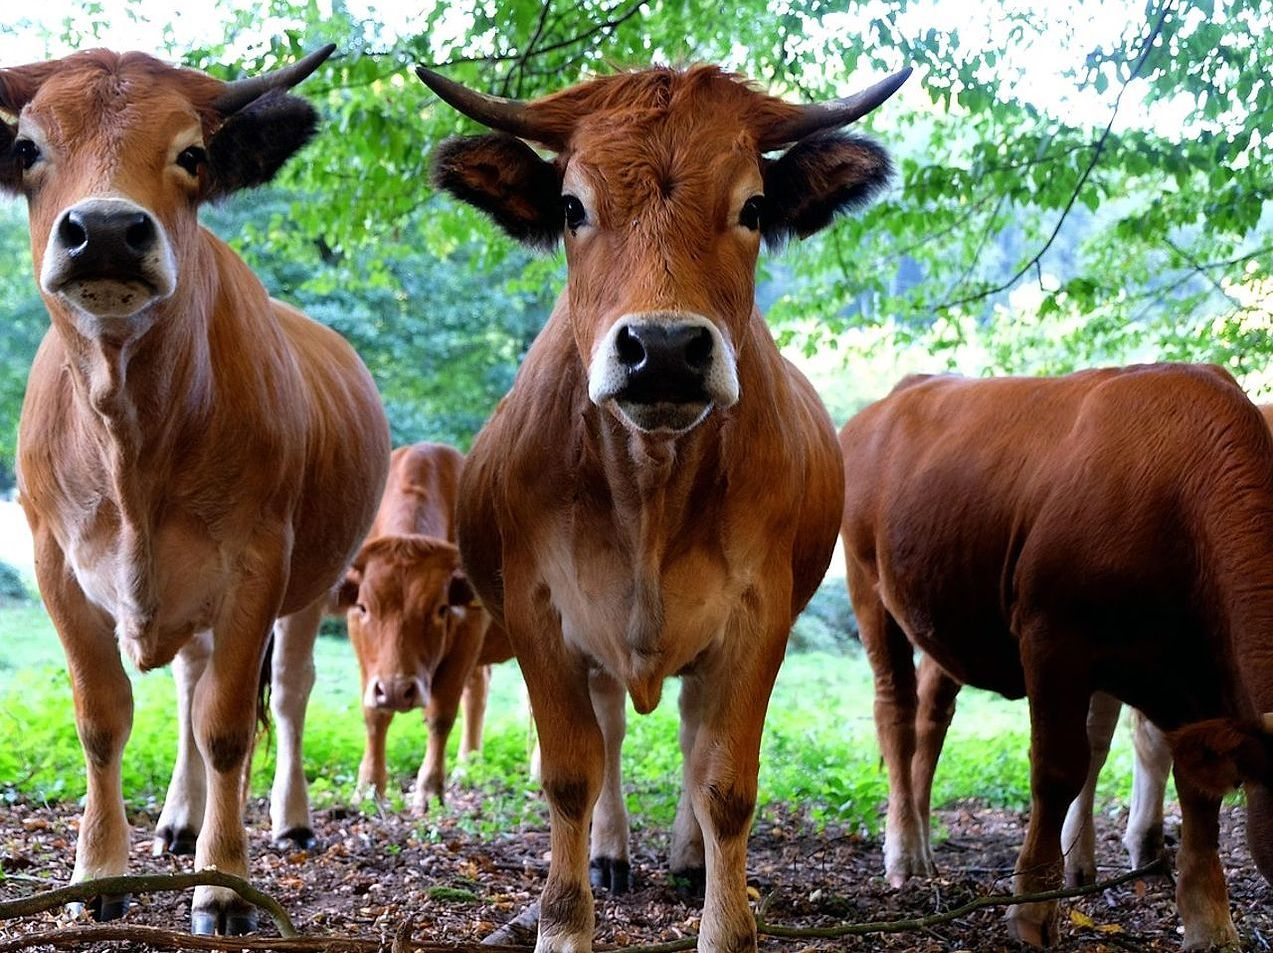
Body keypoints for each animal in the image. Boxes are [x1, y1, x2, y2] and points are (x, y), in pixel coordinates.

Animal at [2, 48, 390, 935]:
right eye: (28, 148)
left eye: (194, 153)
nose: (107, 228)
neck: (129, 437)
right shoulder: (52, 561)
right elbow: (103, 718)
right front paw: (100, 871)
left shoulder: (257, 562)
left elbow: (226, 729)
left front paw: (222, 886)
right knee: (190, 681)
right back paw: (179, 820)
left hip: (313, 583)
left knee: (281, 697)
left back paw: (286, 821)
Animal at [336, 442, 513, 810]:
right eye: (364, 607)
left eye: (440, 609)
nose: (396, 690)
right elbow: (374, 715)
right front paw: (369, 786)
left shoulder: (468, 629)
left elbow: (440, 715)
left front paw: (430, 788)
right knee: (479, 689)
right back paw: (468, 765)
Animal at [414, 62, 909, 953]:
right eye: (572, 208)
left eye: (752, 208)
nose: (666, 349)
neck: (648, 484)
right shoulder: (540, 610)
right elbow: (569, 772)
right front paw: (564, 923)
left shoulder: (757, 615)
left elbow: (724, 781)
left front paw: (726, 923)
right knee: (611, 729)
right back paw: (611, 854)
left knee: (687, 727)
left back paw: (686, 859)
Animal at [840, 365, 1273, 949]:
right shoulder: (1052, 637)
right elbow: (1058, 769)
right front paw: (1033, 907)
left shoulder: (1195, 686)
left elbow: (1198, 788)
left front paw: (1210, 924)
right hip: (870, 588)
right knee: (896, 713)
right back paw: (905, 852)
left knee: (932, 719)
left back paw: (926, 847)